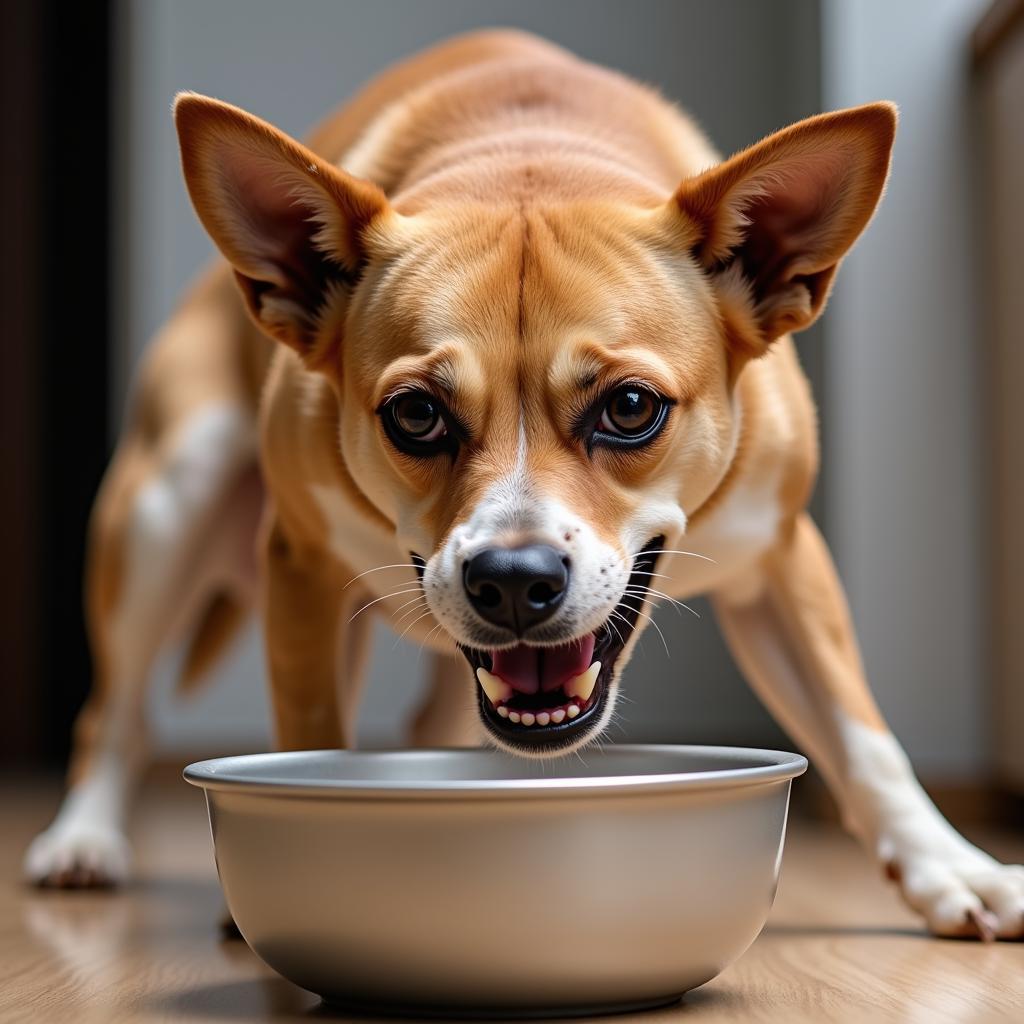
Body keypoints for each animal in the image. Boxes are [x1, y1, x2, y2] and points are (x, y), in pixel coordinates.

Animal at [25, 28, 1024, 937]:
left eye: (630, 406)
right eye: (416, 414)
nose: (512, 581)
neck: (526, 152)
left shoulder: (781, 560)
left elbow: (864, 737)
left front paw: (950, 868)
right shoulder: (299, 566)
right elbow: (310, 733)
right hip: (167, 502)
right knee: (114, 715)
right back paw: (82, 840)